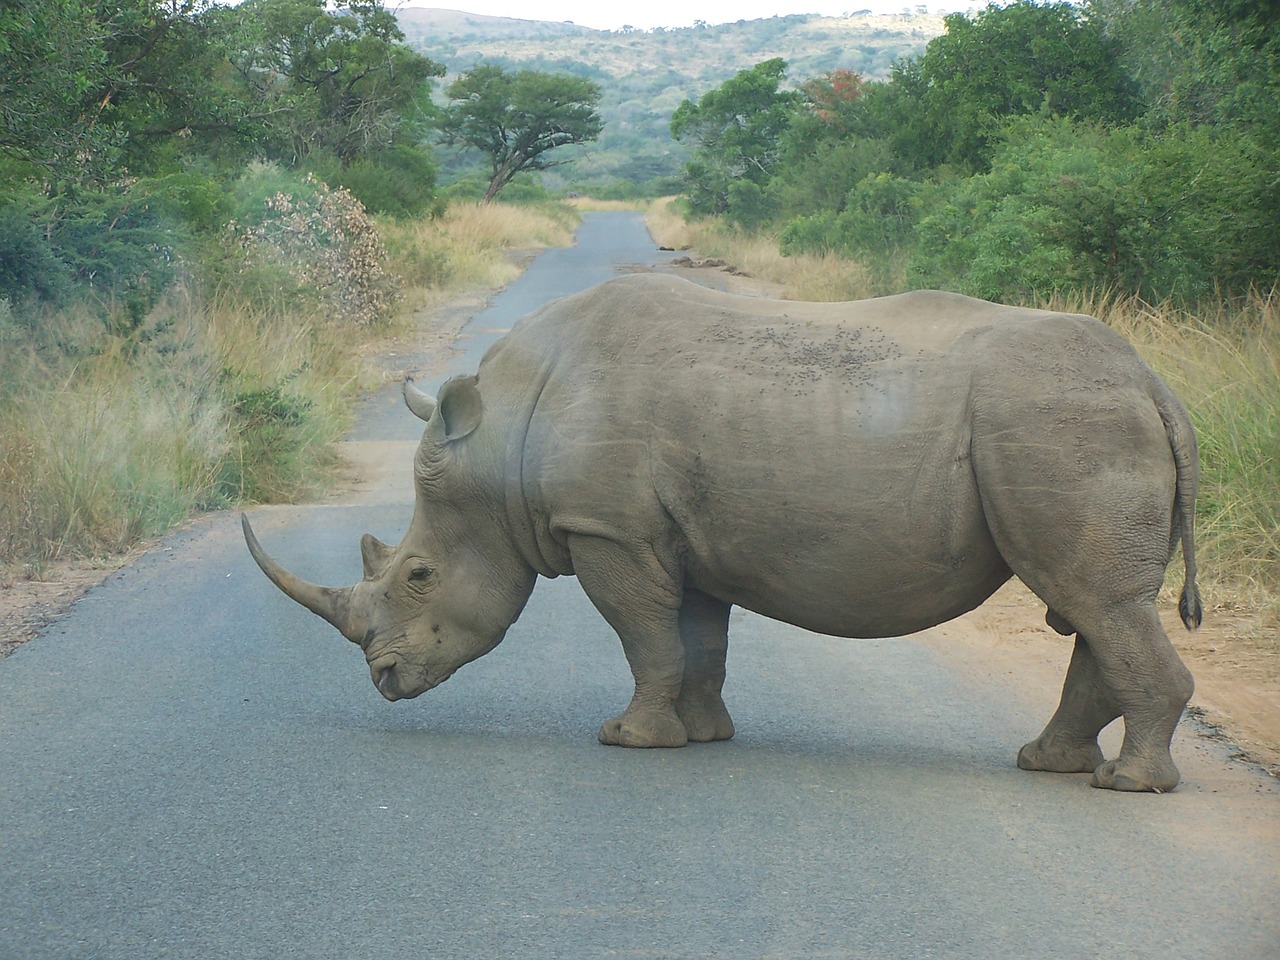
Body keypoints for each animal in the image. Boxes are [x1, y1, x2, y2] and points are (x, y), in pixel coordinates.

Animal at [244, 273, 1203, 793]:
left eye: (418, 576)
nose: (385, 682)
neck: (503, 437)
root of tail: (1154, 381)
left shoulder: (608, 530)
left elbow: (643, 634)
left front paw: (627, 741)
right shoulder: (675, 536)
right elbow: (697, 640)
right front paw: (703, 738)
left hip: (1060, 422)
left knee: (1095, 600)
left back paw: (1124, 785)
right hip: (1078, 420)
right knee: (1095, 606)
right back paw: (1047, 763)